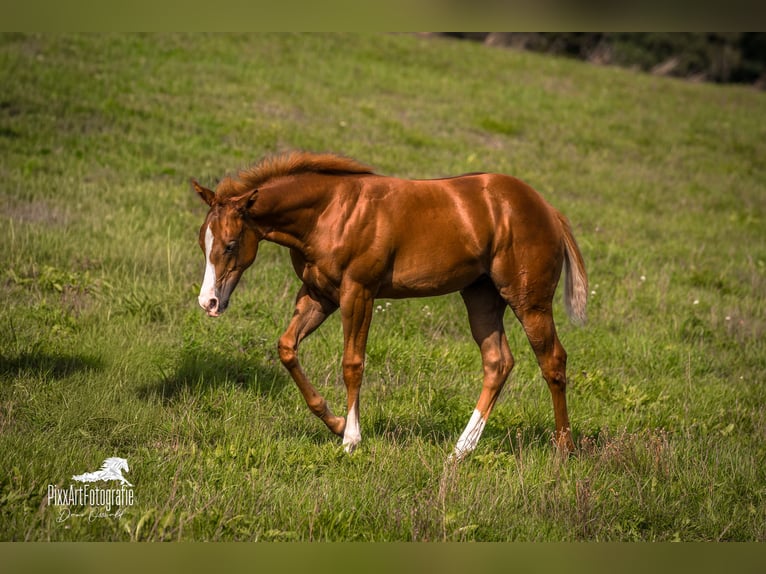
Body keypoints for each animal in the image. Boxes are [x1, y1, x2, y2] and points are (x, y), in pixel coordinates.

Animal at [193, 151, 587, 459]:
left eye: (230, 244)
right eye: (202, 241)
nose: (208, 302)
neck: (329, 212)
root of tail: (547, 209)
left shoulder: (358, 293)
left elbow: (352, 363)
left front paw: (351, 439)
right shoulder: (319, 294)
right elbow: (287, 347)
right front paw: (336, 423)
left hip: (529, 302)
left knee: (553, 361)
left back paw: (563, 449)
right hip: (481, 298)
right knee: (498, 363)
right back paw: (460, 450)